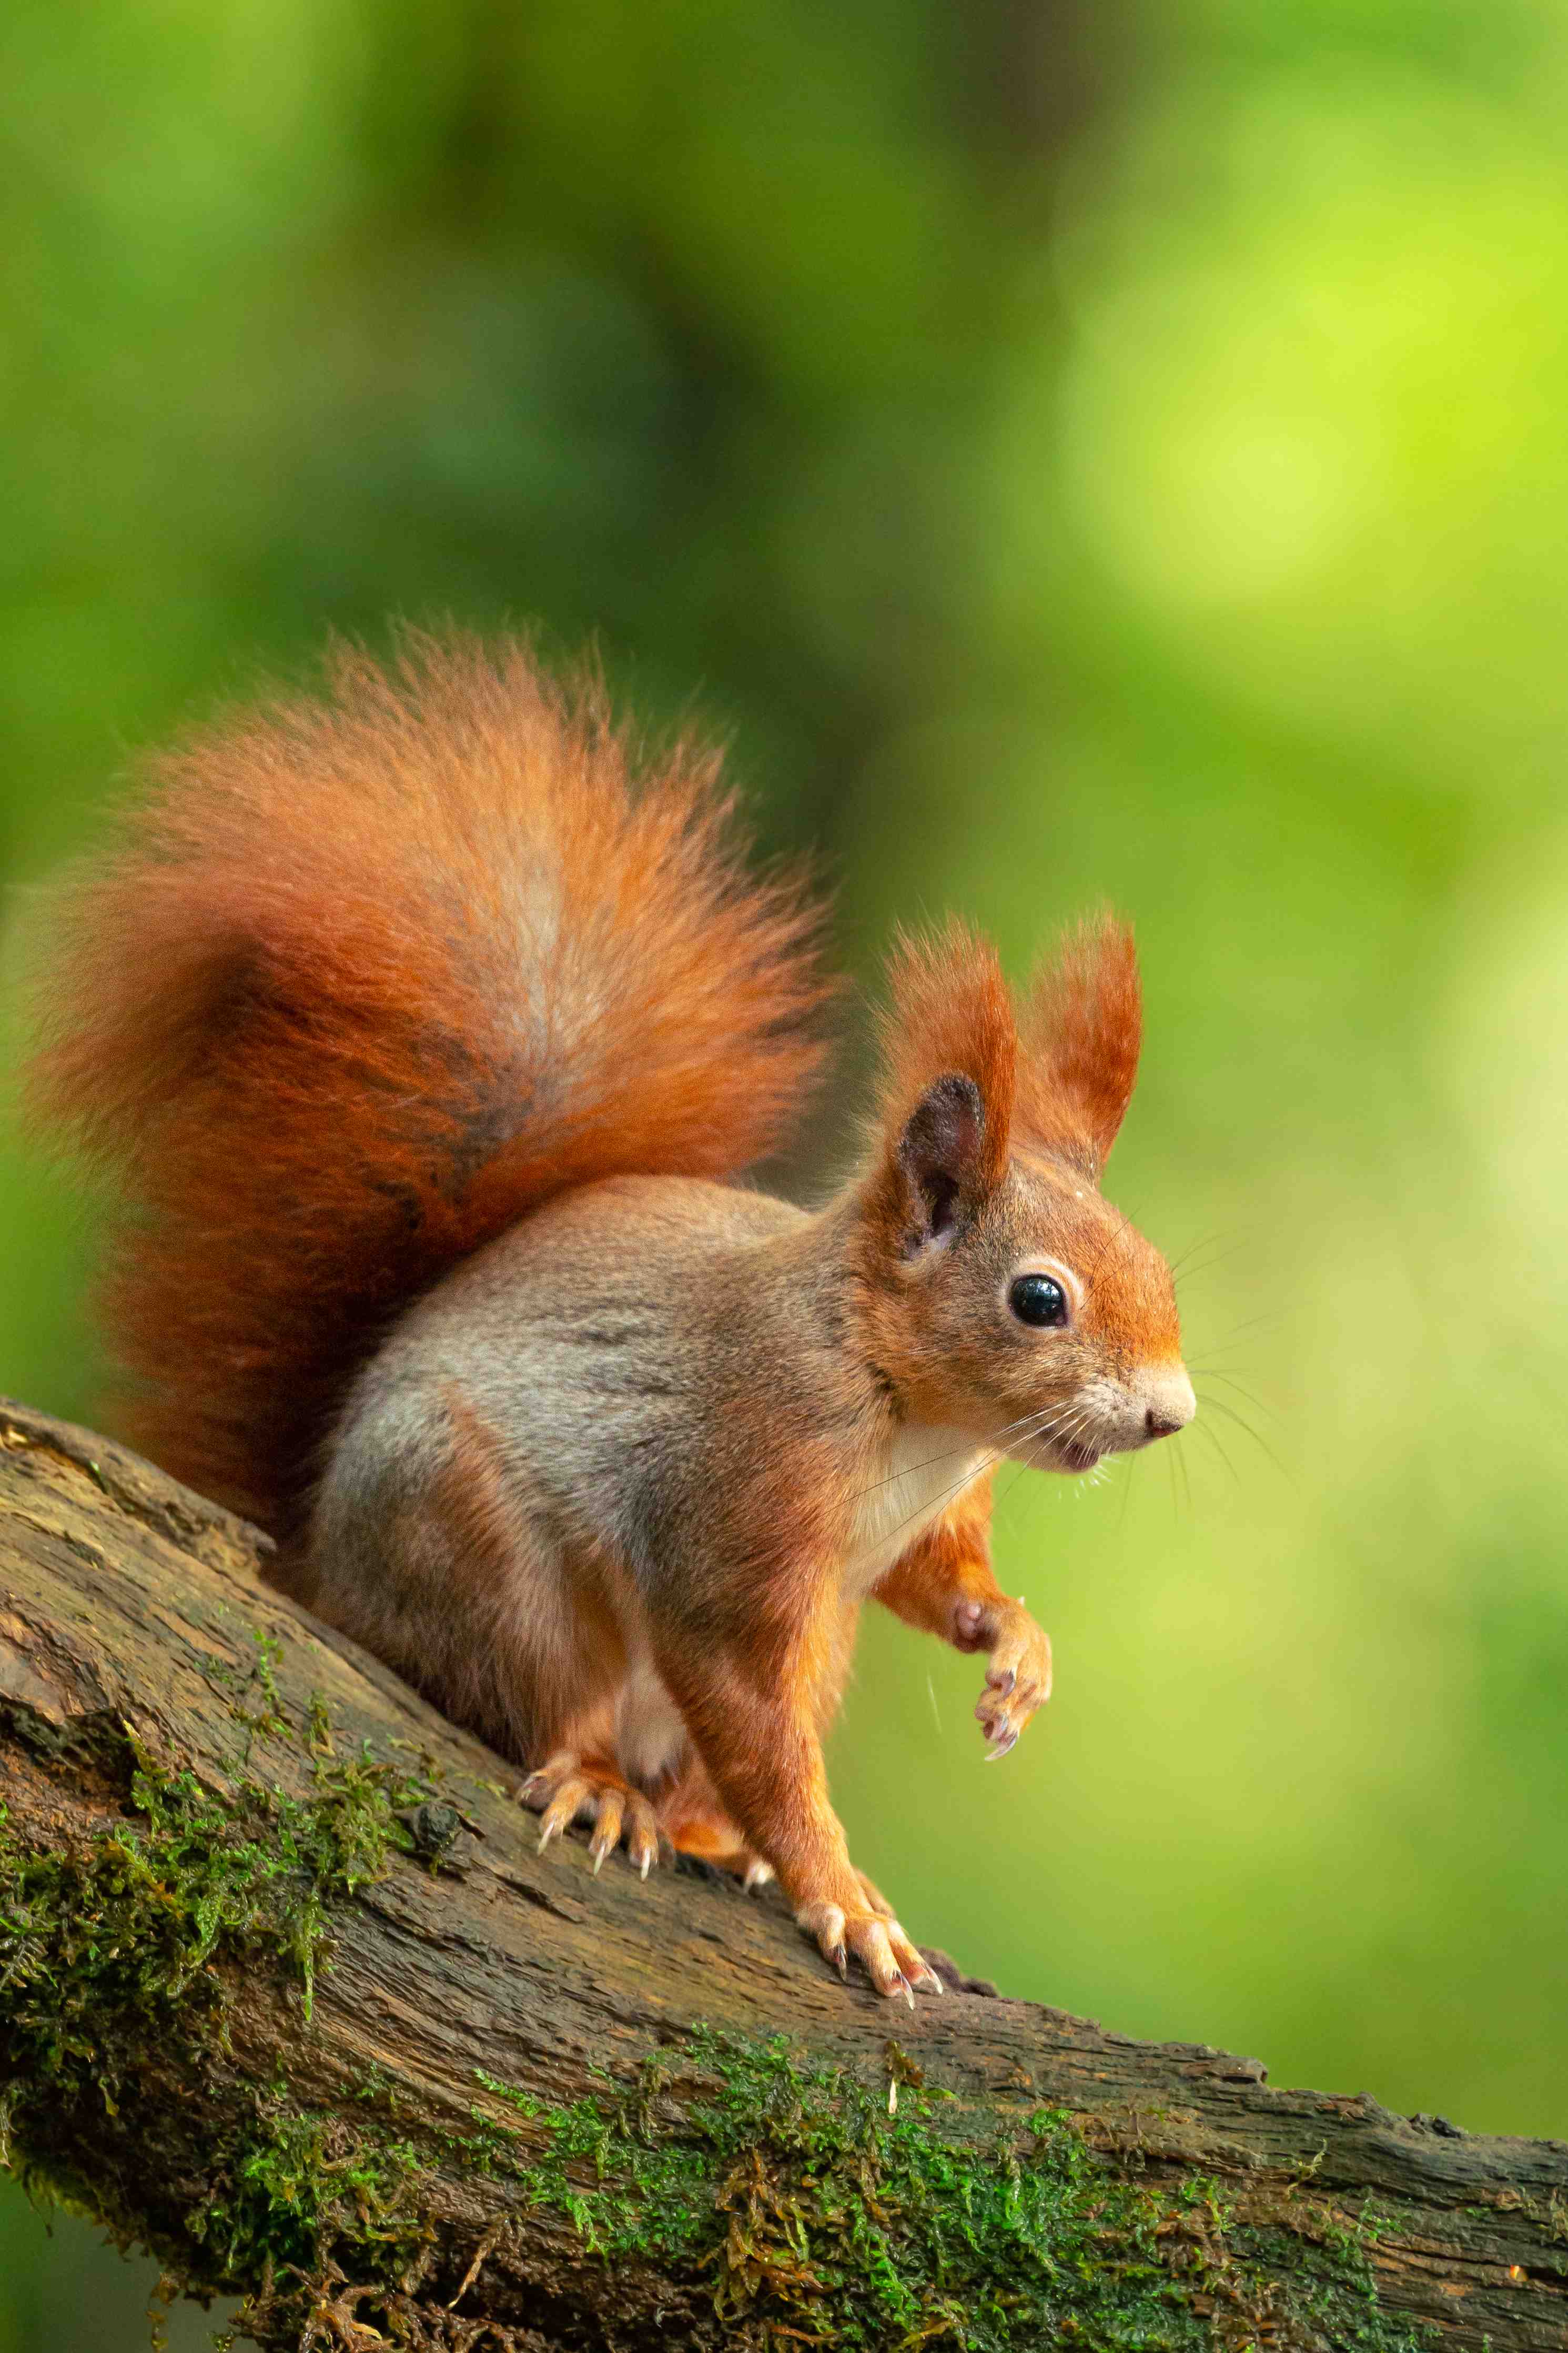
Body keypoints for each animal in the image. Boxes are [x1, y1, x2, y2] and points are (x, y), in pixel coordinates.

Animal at [29, 630, 1194, 2005]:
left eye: (1158, 1265)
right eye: (1037, 1298)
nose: (1169, 1413)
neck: (907, 1412)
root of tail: (314, 1559)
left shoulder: (909, 1532)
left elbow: (936, 1584)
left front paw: (1014, 1648)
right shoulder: (732, 1508)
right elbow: (750, 1716)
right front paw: (838, 1890)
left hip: (816, 1643)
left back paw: (699, 1831)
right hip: (477, 1547)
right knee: (539, 1703)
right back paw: (602, 1787)